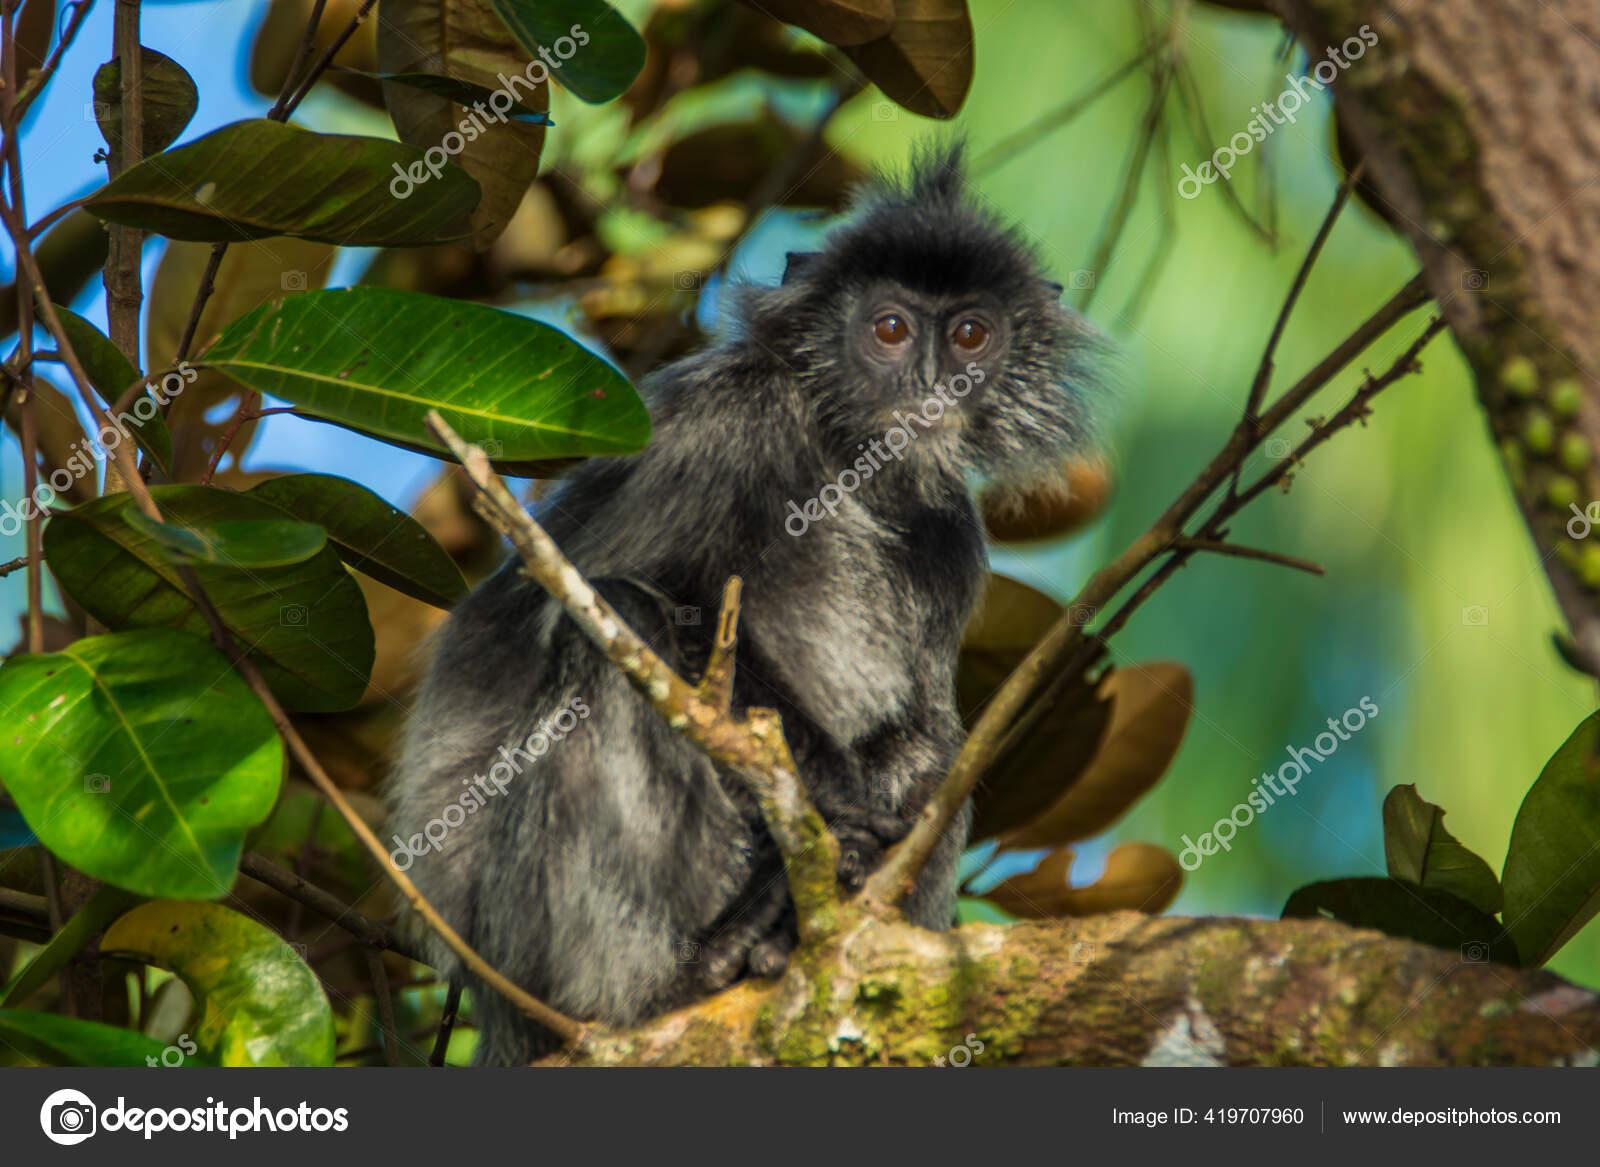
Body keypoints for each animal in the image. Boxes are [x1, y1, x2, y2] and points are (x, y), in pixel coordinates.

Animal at [386, 144, 1107, 1064]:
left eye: (971, 335)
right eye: (890, 330)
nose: (929, 387)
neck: (842, 454)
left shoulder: (950, 530)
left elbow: (921, 730)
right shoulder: (719, 425)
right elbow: (605, 597)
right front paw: (839, 811)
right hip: (521, 941)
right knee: (619, 628)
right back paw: (698, 964)